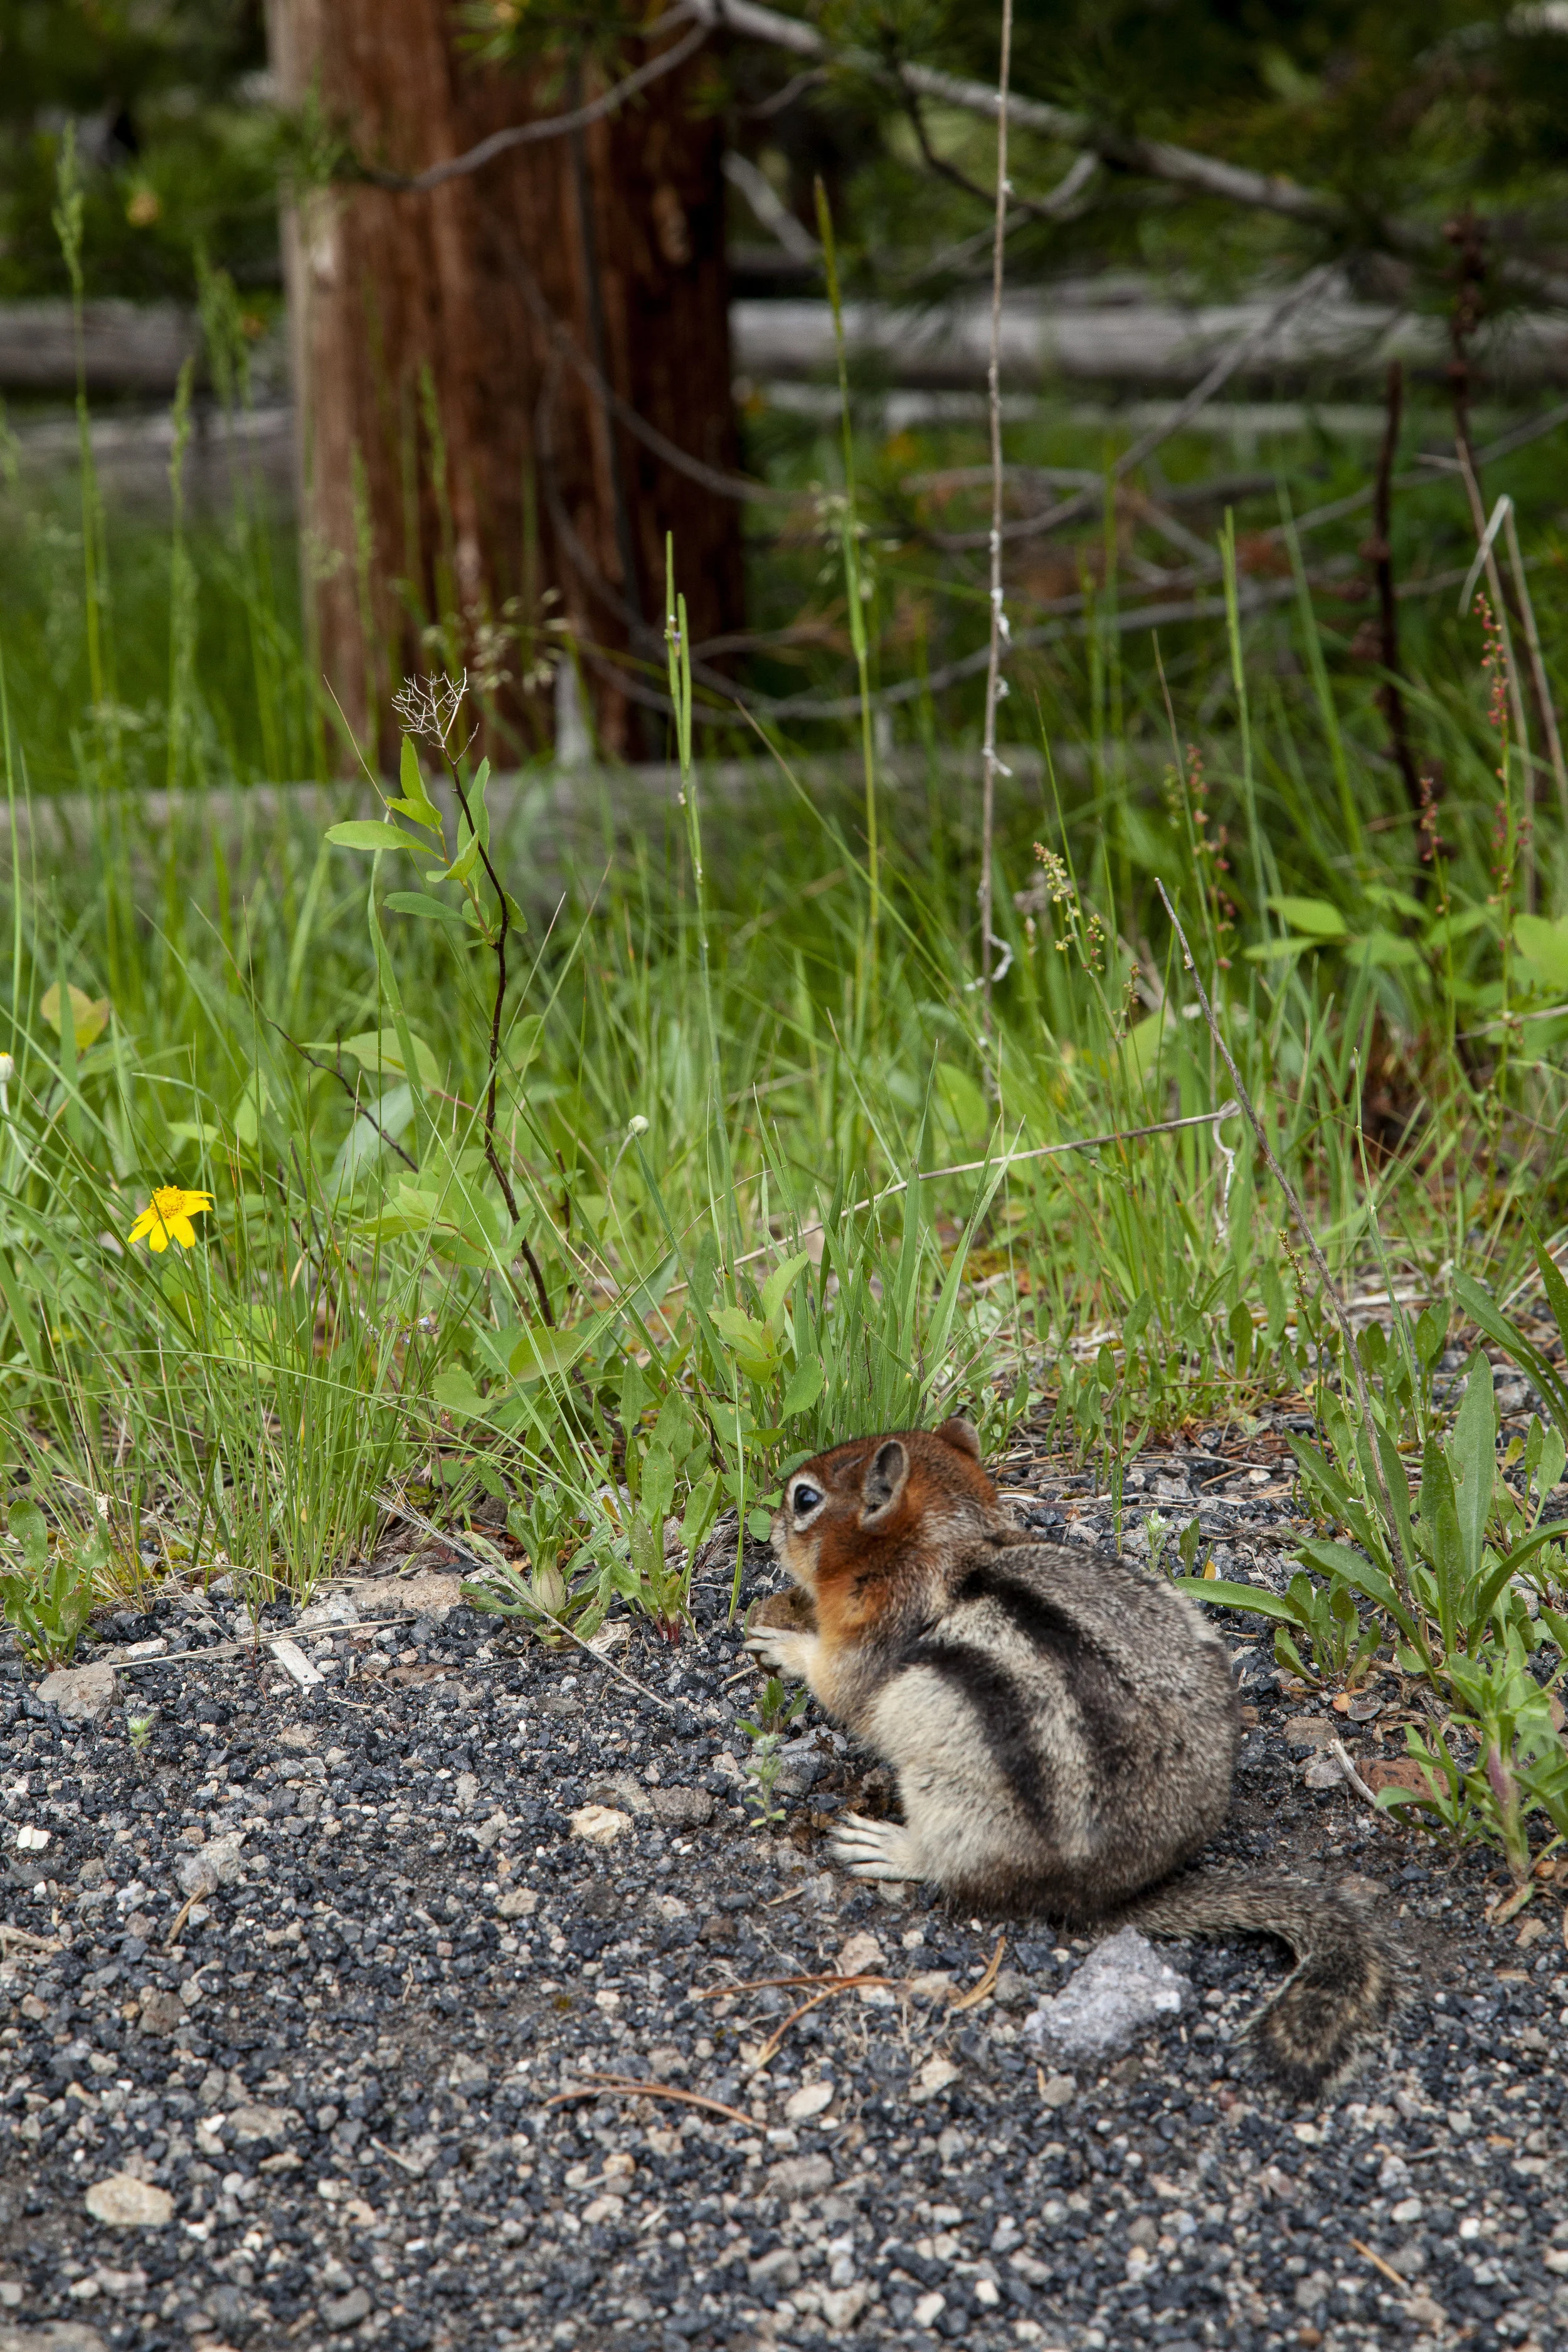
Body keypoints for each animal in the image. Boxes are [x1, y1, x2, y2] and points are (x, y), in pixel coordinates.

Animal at [744, 1414, 1403, 2097]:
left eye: (804, 1499)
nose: (768, 1524)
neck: (947, 1549)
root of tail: (1111, 1893)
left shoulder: (867, 1644)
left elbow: (831, 1680)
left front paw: (781, 1643)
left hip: (952, 1795)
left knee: (952, 1868)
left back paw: (886, 1845)